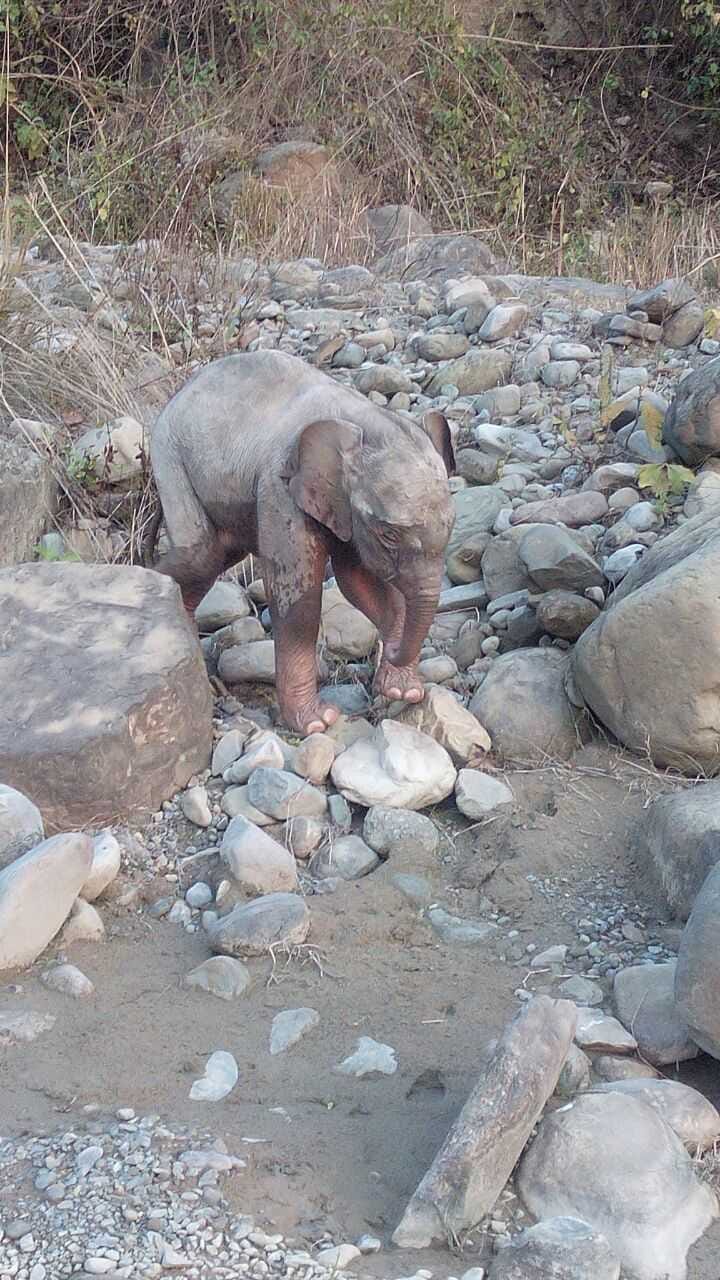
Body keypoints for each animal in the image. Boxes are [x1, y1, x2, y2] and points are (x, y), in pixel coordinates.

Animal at [147, 349, 455, 736]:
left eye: (452, 525)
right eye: (389, 534)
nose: (394, 650)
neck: (364, 418)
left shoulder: (340, 508)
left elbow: (357, 582)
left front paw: (403, 690)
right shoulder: (279, 486)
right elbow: (299, 599)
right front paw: (317, 723)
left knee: (215, 555)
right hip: (169, 458)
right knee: (200, 555)